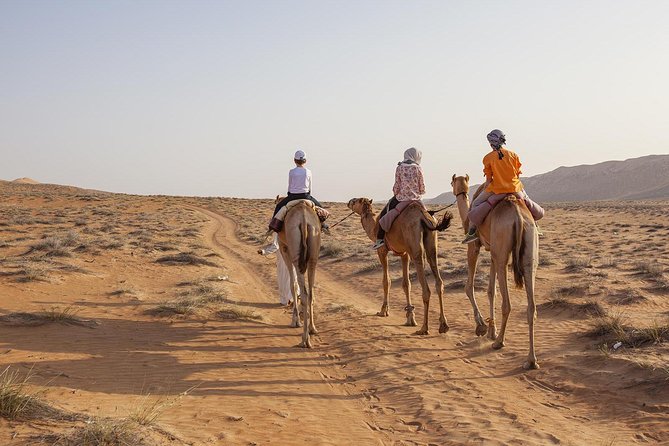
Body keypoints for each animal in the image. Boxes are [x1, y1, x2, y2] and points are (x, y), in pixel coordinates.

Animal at [277, 200, 322, 348]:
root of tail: (303, 218)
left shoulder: (284, 249)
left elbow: (293, 284)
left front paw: (295, 321)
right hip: (313, 252)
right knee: (310, 293)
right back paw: (312, 329)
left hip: (295, 253)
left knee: (304, 292)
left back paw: (304, 340)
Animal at [347, 198, 452, 335]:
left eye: (355, 201)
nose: (348, 202)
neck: (374, 227)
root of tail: (423, 216)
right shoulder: (404, 254)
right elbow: (406, 284)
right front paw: (410, 317)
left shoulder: (382, 251)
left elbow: (386, 281)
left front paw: (383, 311)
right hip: (431, 242)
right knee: (437, 278)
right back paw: (443, 325)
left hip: (414, 244)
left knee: (425, 286)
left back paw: (424, 328)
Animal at [451, 175, 539, 369]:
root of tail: (518, 217)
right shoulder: (492, 252)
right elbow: (491, 291)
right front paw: (491, 330)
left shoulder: (475, 246)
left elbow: (469, 287)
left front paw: (482, 327)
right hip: (528, 251)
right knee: (531, 305)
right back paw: (531, 360)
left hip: (502, 250)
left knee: (507, 303)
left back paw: (499, 342)